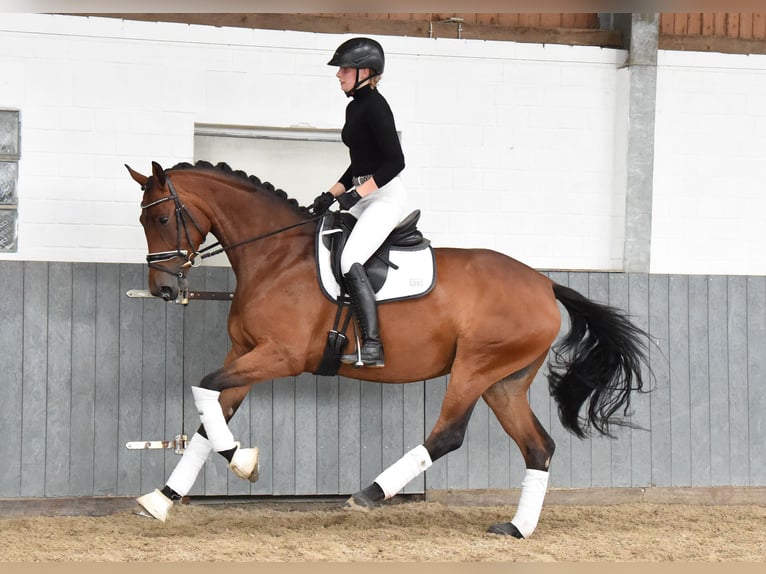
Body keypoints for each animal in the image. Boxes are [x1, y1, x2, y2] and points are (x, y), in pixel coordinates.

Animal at [127, 160, 656, 536]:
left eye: (160, 217)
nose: (162, 289)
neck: (276, 257)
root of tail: (545, 285)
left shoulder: (280, 356)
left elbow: (204, 390)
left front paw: (242, 461)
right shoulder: (244, 352)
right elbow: (209, 416)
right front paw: (161, 499)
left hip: (475, 368)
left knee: (448, 434)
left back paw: (368, 493)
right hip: (504, 382)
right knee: (538, 446)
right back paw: (516, 529)